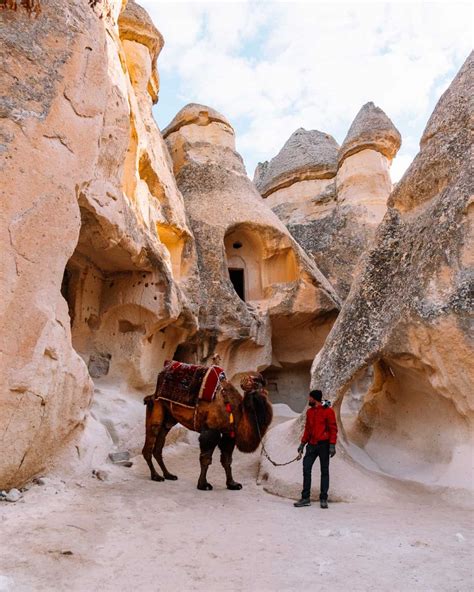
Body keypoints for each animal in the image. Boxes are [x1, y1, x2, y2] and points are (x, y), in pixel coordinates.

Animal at [143, 370, 272, 490]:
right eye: (254, 380)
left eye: (258, 381)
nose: (245, 382)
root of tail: (152, 395)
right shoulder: (211, 430)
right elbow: (206, 459)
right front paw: (203, 485)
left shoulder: (228, 434)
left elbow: (227, 460)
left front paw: (232, 484)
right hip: (157, 408)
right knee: (149, 443)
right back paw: (156, 476)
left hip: (168, 420)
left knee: (158, 447)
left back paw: (168, 475)